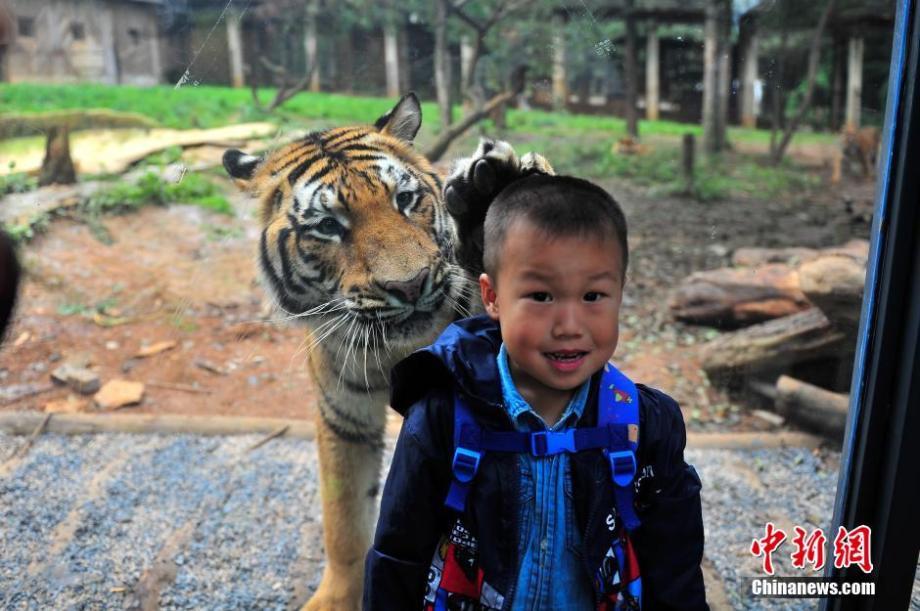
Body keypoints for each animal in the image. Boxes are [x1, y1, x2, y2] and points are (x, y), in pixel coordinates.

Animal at [222, 93, 552, 610]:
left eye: (404, 200)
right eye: (328, 226)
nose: (410, 284)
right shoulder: (344, 418)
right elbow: (343, 520)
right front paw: (339, 596)